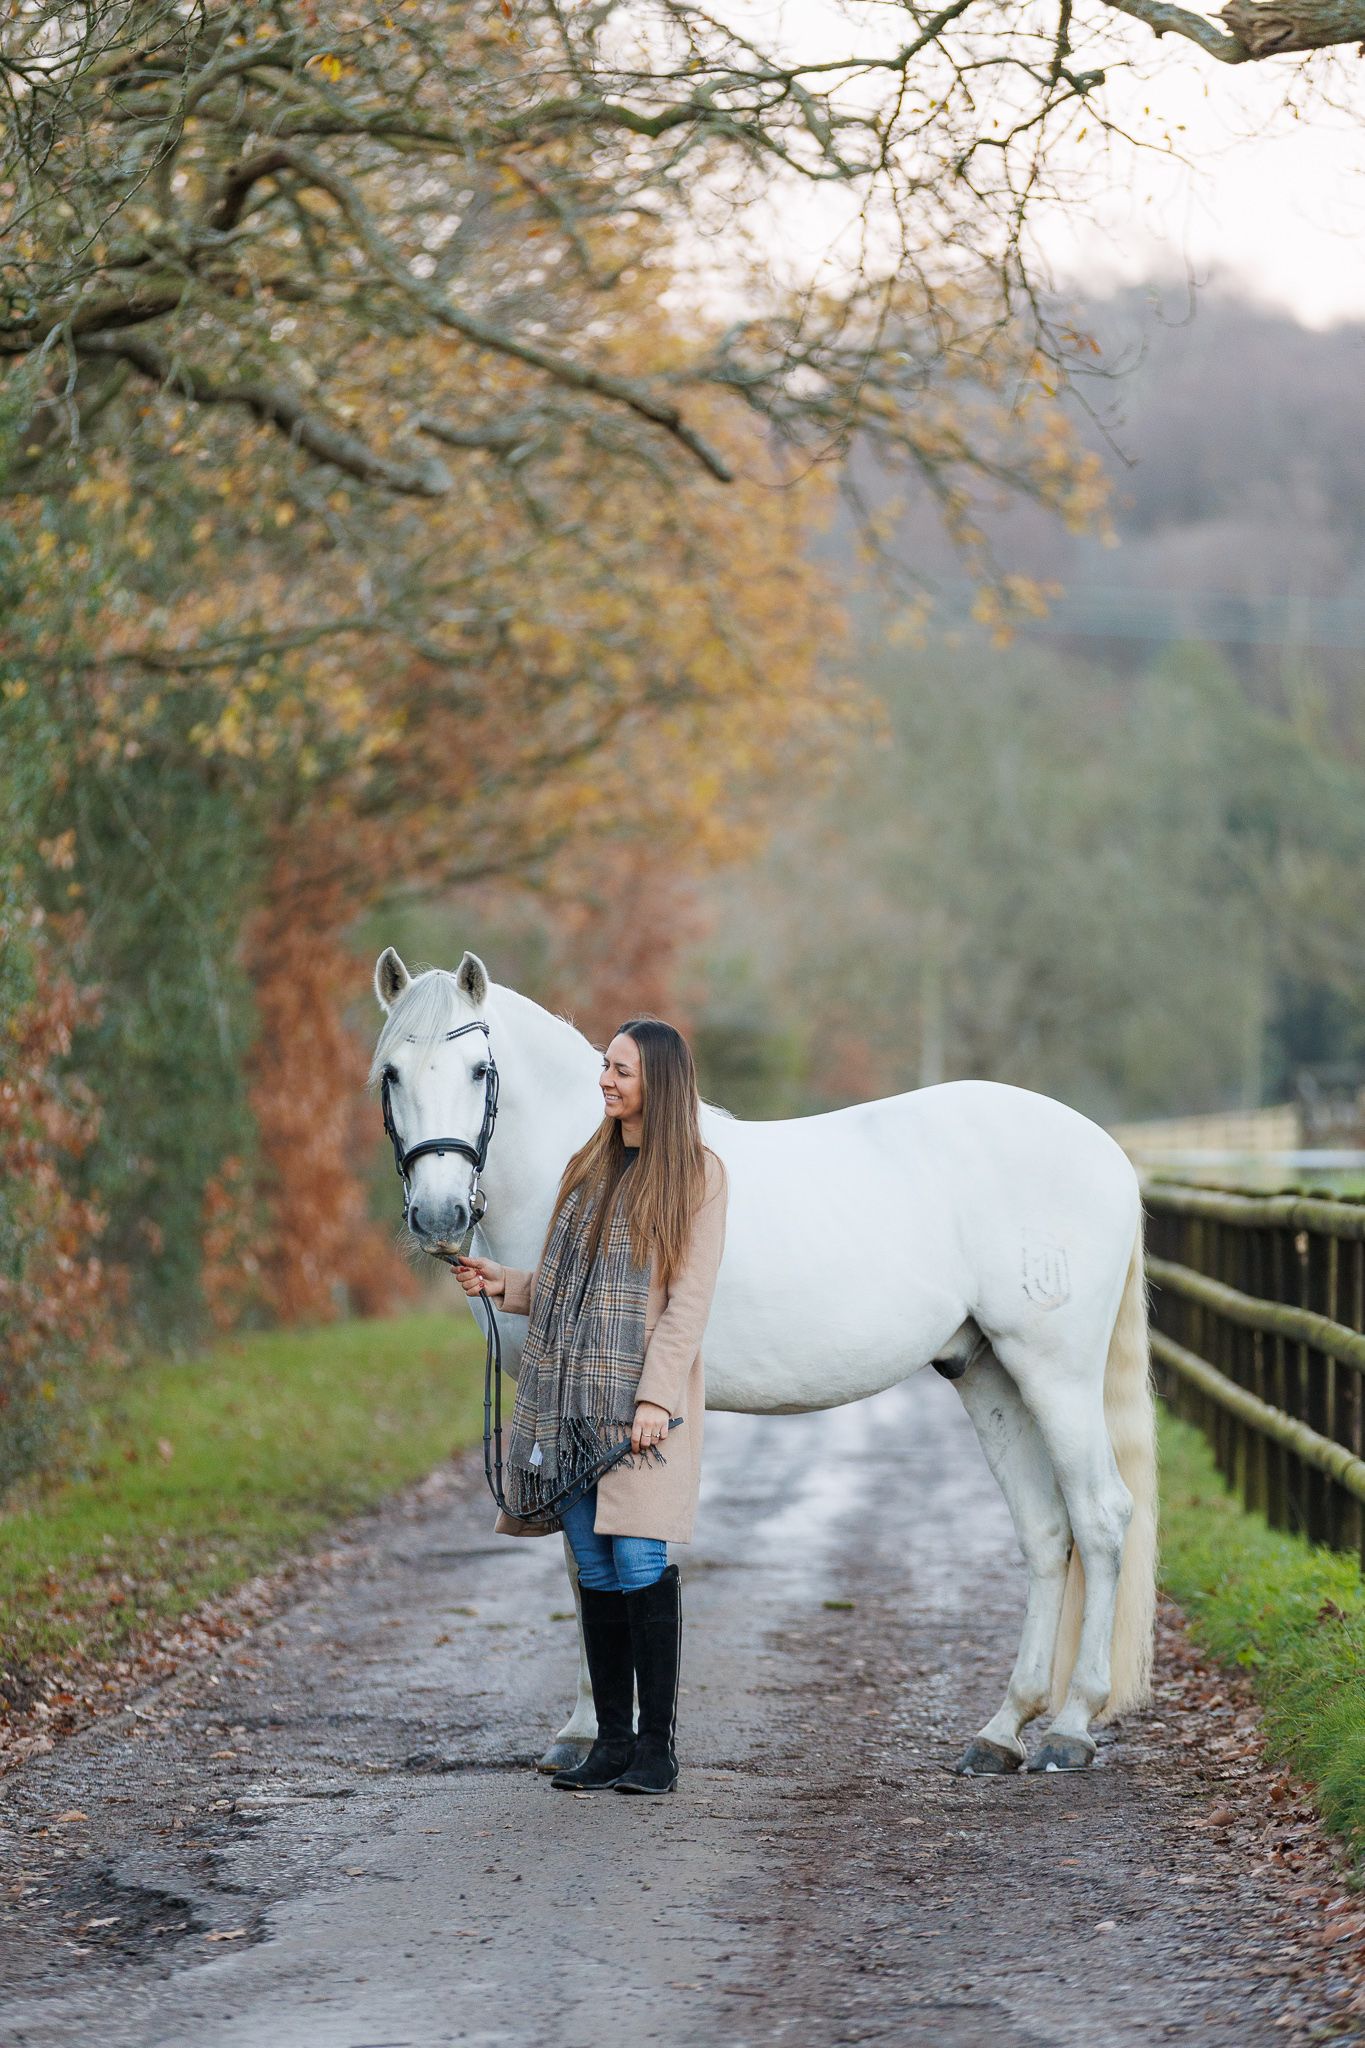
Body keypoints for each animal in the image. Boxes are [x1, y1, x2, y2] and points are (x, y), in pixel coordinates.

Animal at [370, 947, 1156, 1776]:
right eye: (390, 1073)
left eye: (479, 1070)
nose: (440, 1217)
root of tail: (1104, 1151)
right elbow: (583, 1567)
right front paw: (584, 1732)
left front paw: (591, 1733)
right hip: (988, 1373)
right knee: (1043, 1529)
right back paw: (1000, 1731)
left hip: (1054, 1372)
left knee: (1100, 1518)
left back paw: (1070, 1727)